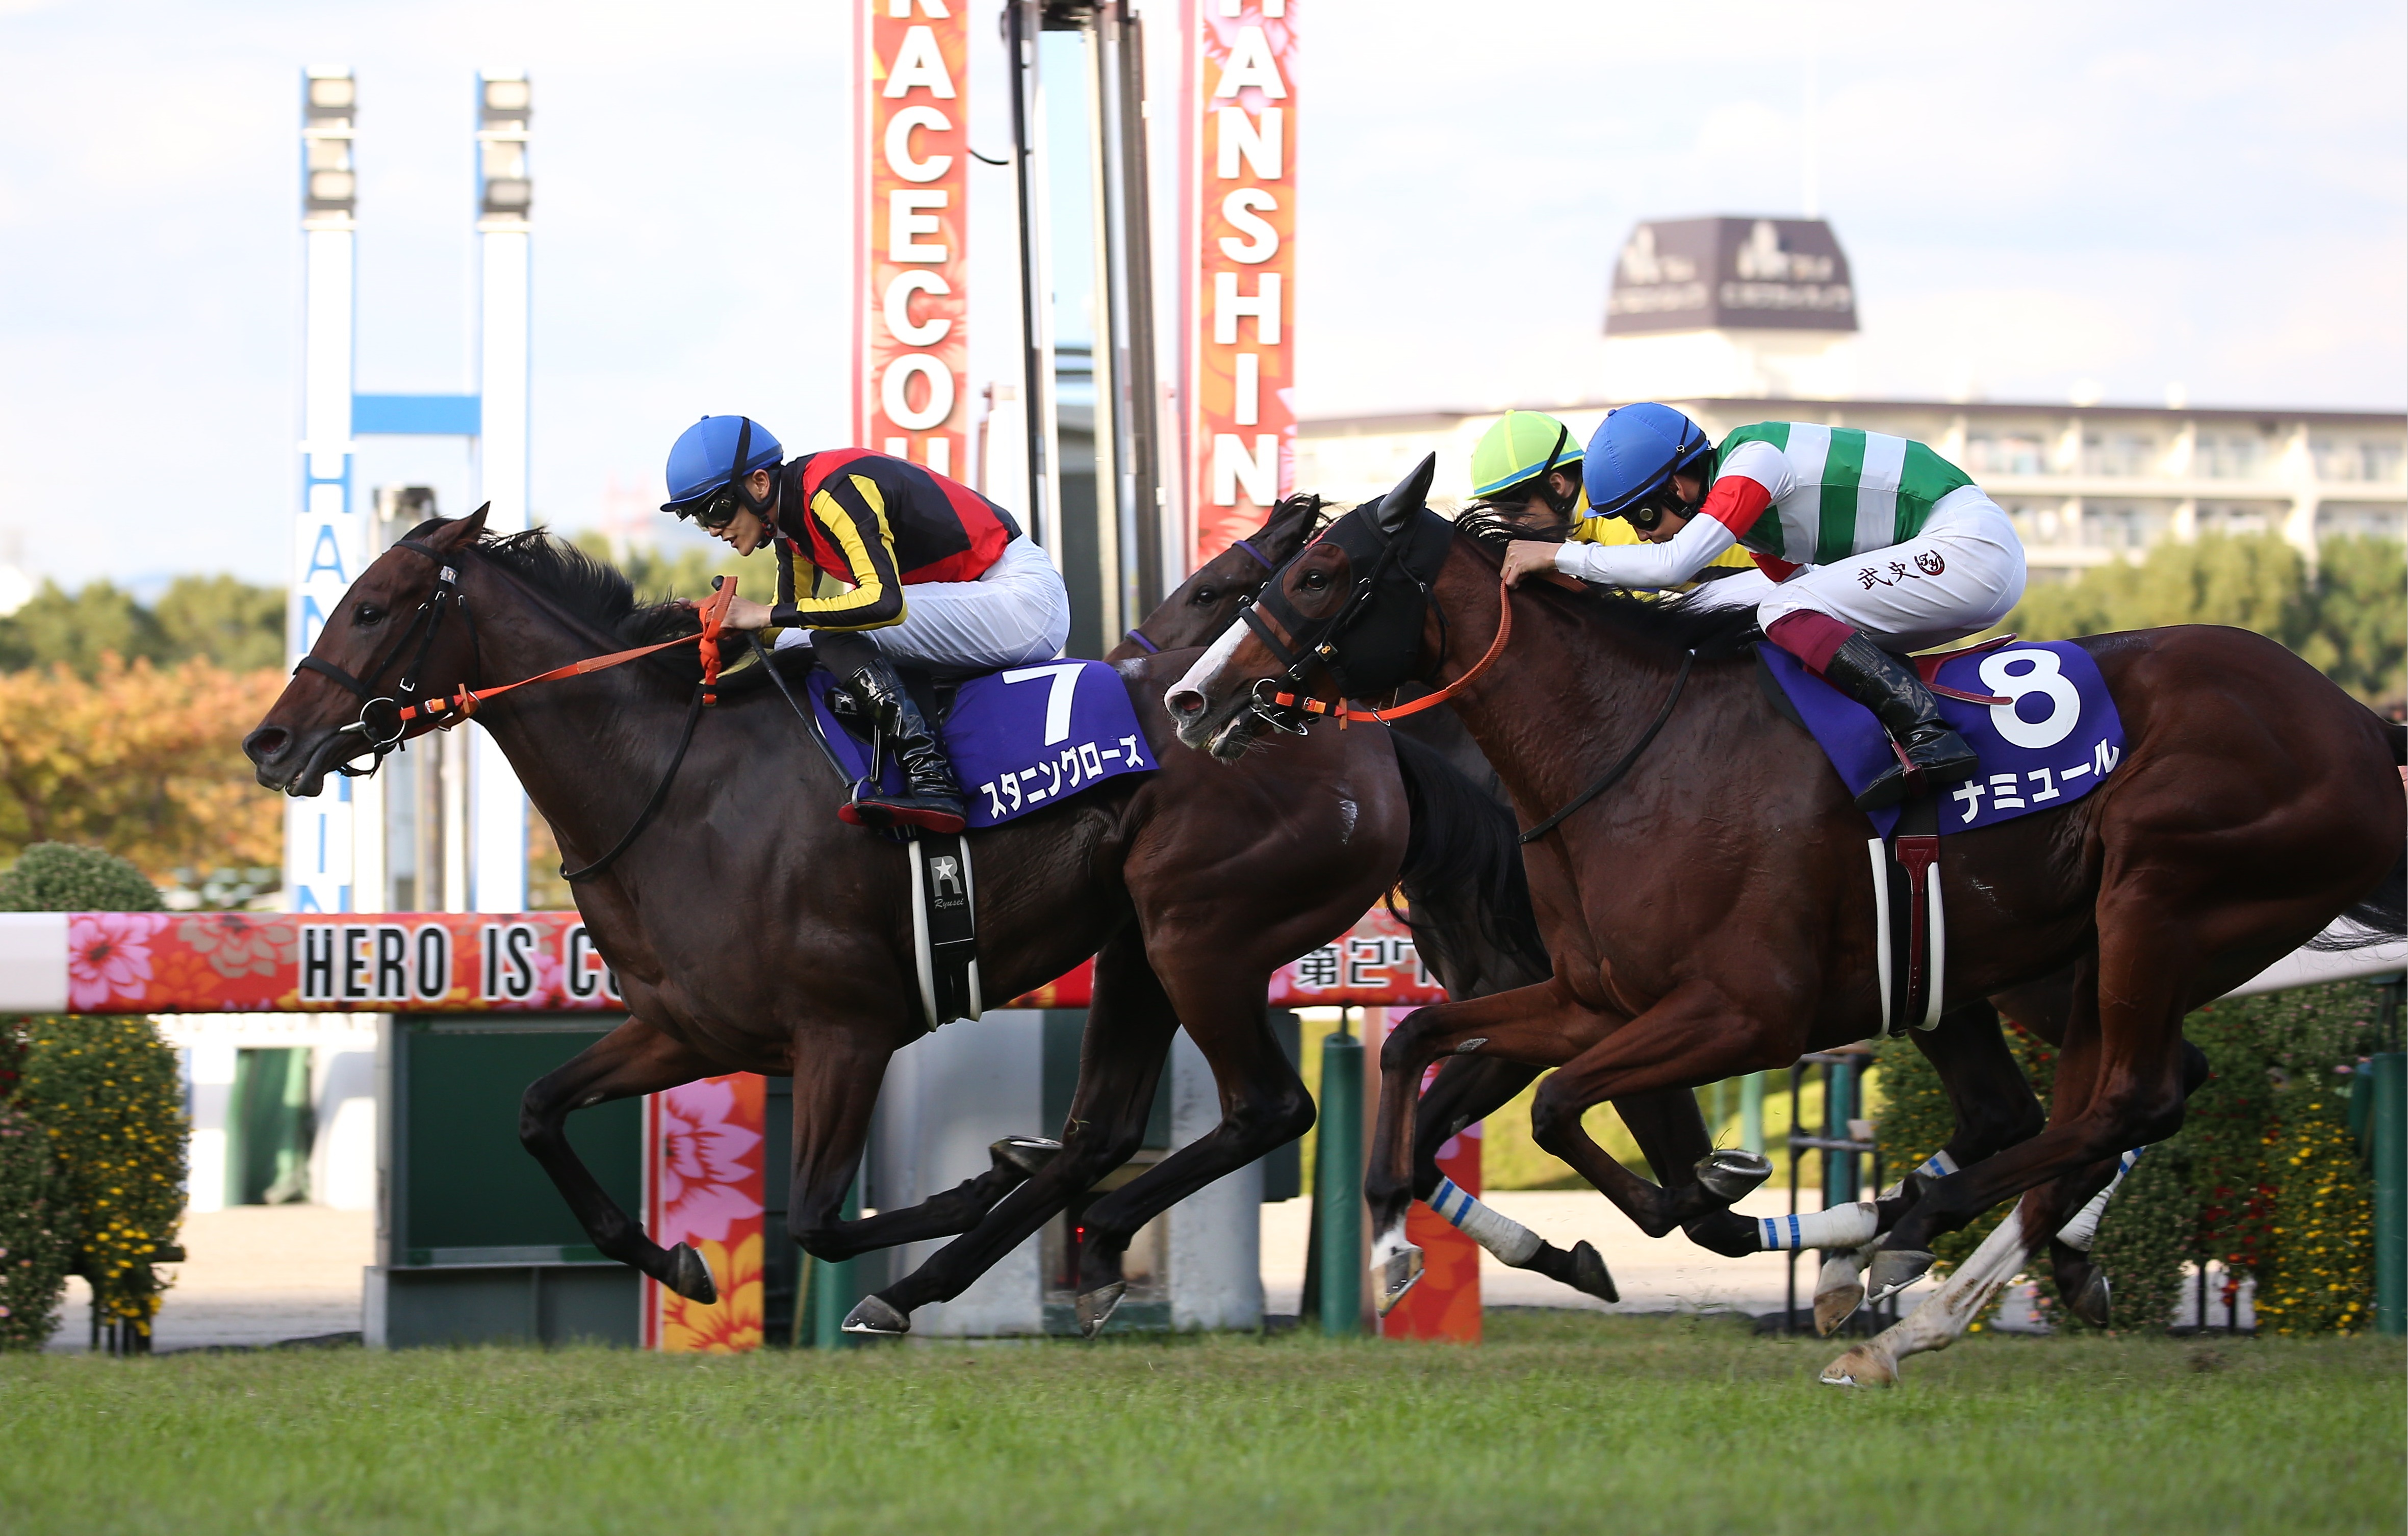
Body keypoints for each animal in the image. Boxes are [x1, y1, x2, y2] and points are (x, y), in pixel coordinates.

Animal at [239, 508, 1522, 1338]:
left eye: (372, 607)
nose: (270, 740)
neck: (677, 785)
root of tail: (1358, 740)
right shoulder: (691, 1029)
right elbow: (537, 1111)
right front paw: (676, 1260)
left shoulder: (843, 1032)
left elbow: (815, 1217)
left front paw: (958, 1190)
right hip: (1137, 943)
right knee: (1107, 1128)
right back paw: (1008, 1255)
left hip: (1198, 933)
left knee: (1267, 1107)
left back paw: (1024, 1246)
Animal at [1165, 457, 2408, 1367]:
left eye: (1317, 575)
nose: (1190, 700)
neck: (1619, 746)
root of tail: (2354, 718)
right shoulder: (1589, 995)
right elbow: (1423, 1052)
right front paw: (1394, 1243)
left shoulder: (1743, 1011)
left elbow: (1576, 1119)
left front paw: (1712, 1203)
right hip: (2064, 952)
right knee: (2076, 1110)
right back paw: (1925, 1273)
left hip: (2149, 903)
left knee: (2128, 1101)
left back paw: (1906, 1258)